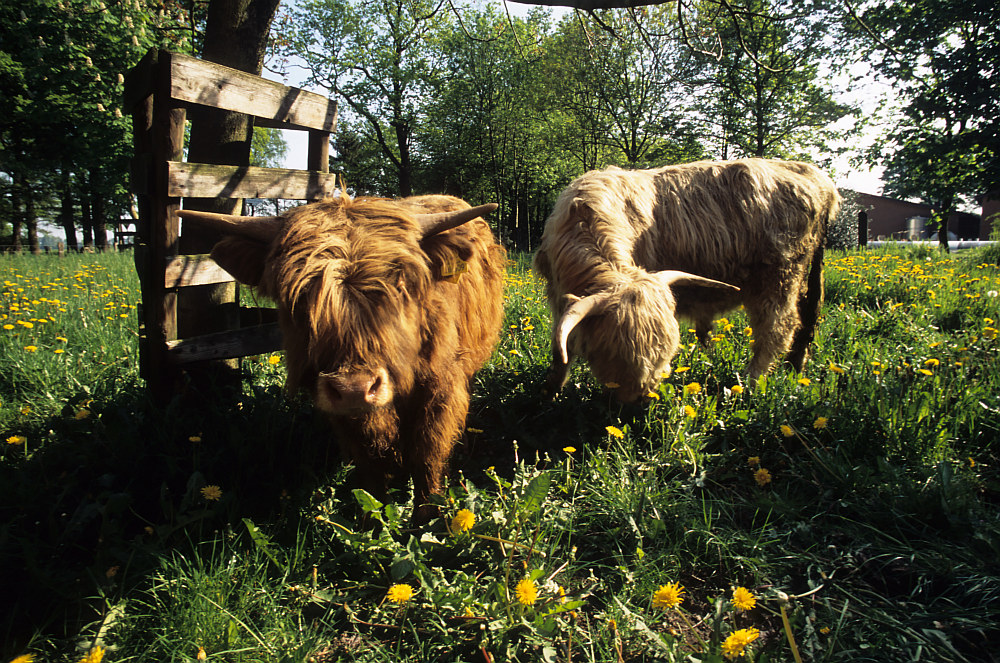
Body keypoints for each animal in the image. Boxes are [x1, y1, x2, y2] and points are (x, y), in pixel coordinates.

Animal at [536, 158, 840, 402]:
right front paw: (550, 391)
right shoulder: (558, 295)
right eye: (616, 355)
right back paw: (794, 370)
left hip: (780, 275)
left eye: (664, 355)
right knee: (806, 318)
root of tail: (817, 177)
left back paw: (751, 383)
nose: (642, 399)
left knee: (777, 327)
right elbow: (561, 348)